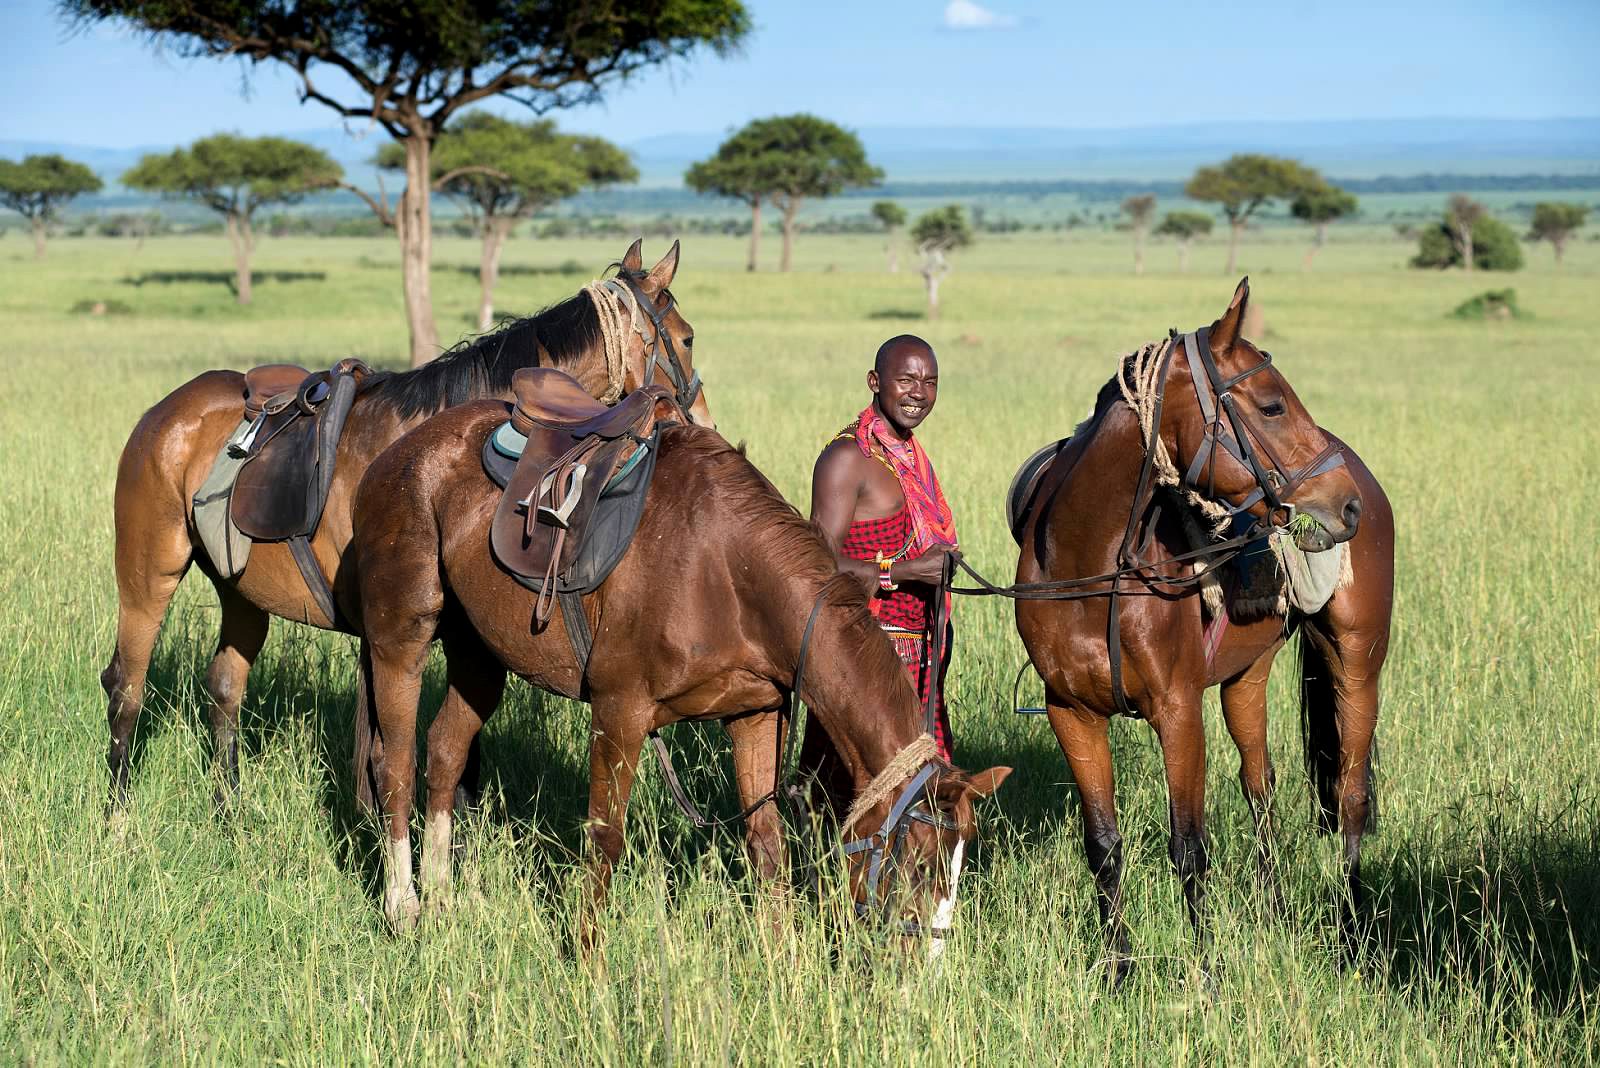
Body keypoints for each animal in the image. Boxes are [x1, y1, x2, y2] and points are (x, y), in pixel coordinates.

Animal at [96, 239, 704, 808]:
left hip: (241, 593)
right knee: (126, 686)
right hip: (149, 575)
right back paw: (118, 814)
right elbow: (387, 754)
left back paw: (231, 812)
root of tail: (162, 413)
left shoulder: (460, 635)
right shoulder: (388, 632)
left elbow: (459, 758)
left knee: (224, 690)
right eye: (688, 338)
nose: (697, 419)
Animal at [347, 412, 1011, 940]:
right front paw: (587, 965)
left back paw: (441, 898)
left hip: (479, 654)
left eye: (960, 864)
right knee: (398, 761)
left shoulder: (754, 715)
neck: (725, 570)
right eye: (916, 863)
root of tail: (395, 454)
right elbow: (604, 839)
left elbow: (766, 842)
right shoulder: (619, 710)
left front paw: (782, 965)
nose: (927, 960)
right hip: (400, 638)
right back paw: (404, 905)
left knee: (445, 749)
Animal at [1011, 279, 1376, 978]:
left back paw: (1351, 932)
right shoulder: (1072, 713)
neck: (1091, 568)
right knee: (1262, 788)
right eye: (1271, 406)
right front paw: (1119, 968)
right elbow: (1103, 844)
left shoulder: (1178, 711)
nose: (1347, 504)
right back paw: (1274, 909)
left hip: (1357, 665)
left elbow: (1188, 846)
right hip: (1245, 681)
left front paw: (1206, 970)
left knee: (1348, 793)